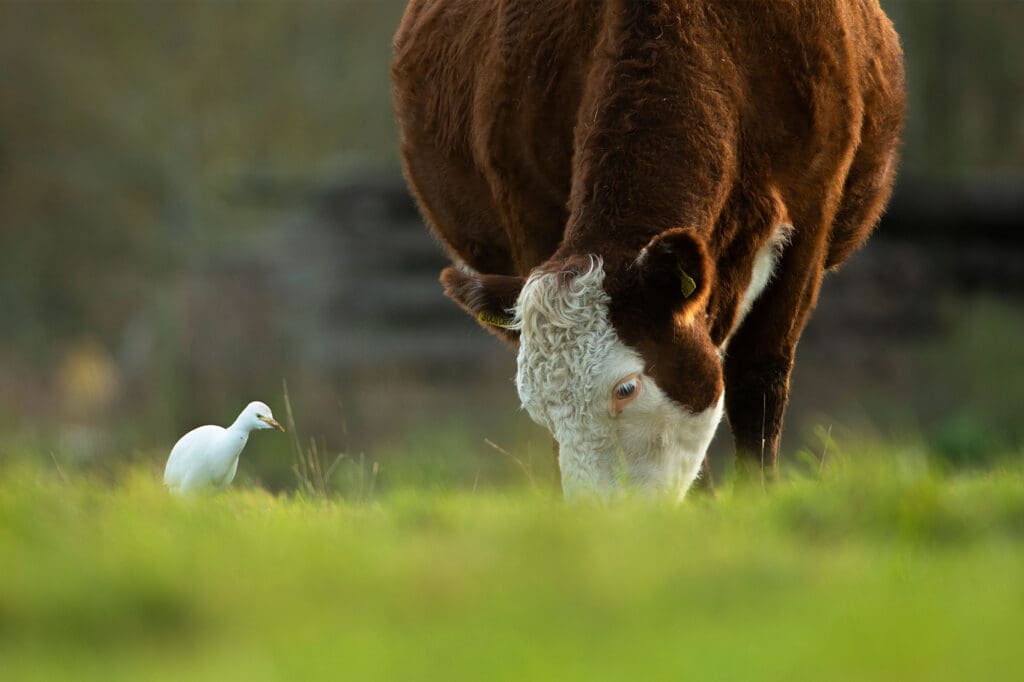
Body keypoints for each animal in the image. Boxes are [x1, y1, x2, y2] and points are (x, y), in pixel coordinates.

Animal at [392, 0, 905, 499]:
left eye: (626, 388)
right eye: (536, 406)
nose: (599, 516)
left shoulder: (812, 213)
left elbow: (759, 378)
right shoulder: (528, 212)